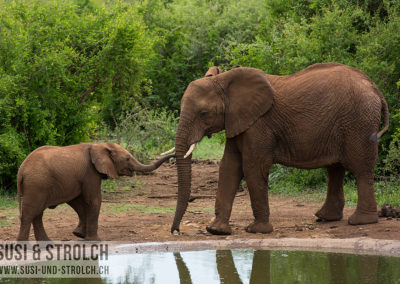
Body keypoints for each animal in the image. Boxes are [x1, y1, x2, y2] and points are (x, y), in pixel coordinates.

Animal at [16, 143, 173, 241]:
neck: (99, 145)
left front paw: (79, 235)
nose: (173, 157)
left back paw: (47, 244)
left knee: (37, 213)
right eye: (127, 158)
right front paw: (94, 241)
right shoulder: (90, 173)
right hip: (37, 184)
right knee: (30, 213)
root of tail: (21, 169)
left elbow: (77, 202)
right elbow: (94, 200)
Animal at [167, 63, 390, 234]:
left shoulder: (258, 125)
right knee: (335, 169)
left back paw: (361, 221)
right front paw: (216, 231)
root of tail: (375, 88)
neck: (225, 81)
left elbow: (252, 168)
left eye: (204, 113)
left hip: (359, 121)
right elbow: (229, 167)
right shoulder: (237, 121)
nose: (176, 231)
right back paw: (326, 217)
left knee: (360, 168)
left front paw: (257, 230)